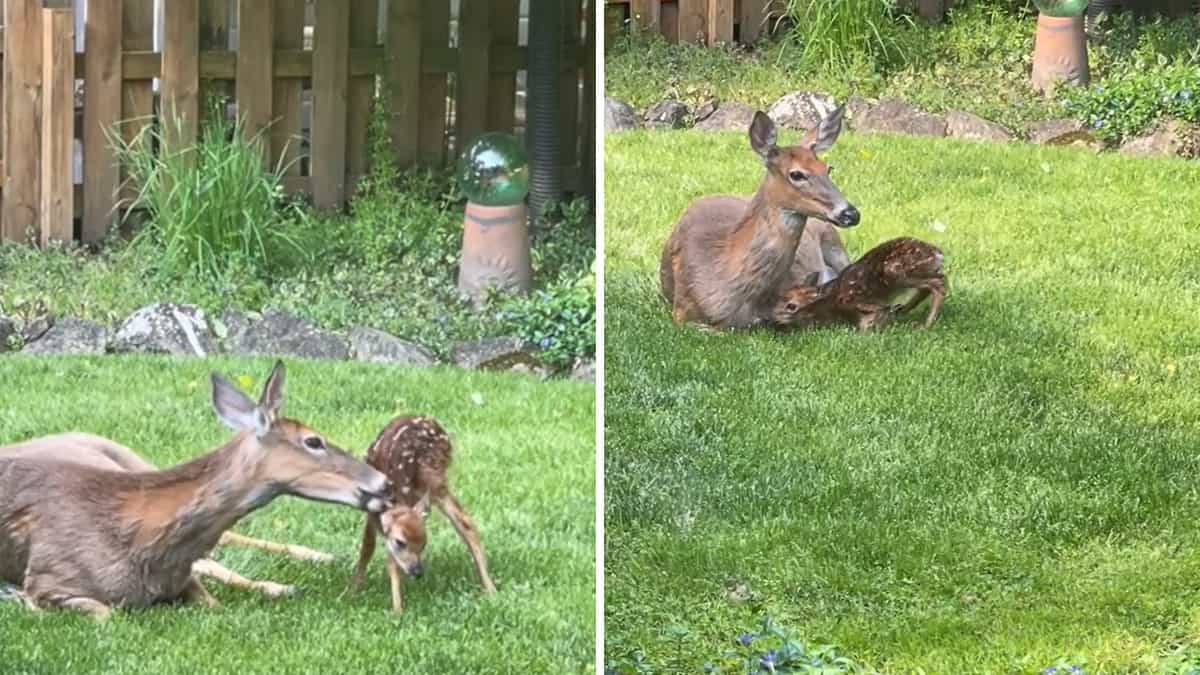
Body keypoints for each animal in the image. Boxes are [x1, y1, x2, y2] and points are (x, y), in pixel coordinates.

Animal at [0, 360, 391, 619]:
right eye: (314, 441)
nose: (384, 482)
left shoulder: (186, 581)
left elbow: (214, 602)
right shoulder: (48, 579)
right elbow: (108, 615)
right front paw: (17, 597)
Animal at [348, 413, 496, 612]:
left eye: (424, 543)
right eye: (400, 542)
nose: (417, 572)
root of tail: (431, 420)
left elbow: (389, 560)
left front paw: (397, 610)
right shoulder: (372, 514)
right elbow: (368, 547)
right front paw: (354, 590)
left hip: (433, 475)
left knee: (464, 521)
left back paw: (491, 589)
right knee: (465, 520)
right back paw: (490, 588)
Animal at [772, 237, 950, 329]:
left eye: (791, 306)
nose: (773, 317)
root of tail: (938, 254)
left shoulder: (859, 303)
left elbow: (869, 321)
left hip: (897, 271)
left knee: (939, 282)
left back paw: (925, 324)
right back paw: (902, 310)